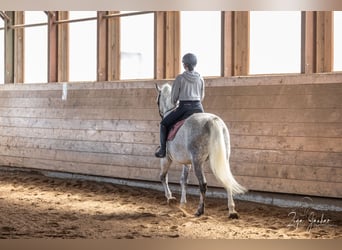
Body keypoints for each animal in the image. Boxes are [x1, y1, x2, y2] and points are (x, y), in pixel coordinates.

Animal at [156, 83, 247, 219]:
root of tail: (212, 120)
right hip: (223, 158)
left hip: (197, 161)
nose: (161, 113)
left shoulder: (166, 158)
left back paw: (199, 210)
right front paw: (182, 204)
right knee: (227, 179)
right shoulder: (187, 163)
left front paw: (170, 198)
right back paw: (232, 211)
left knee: (203, 184)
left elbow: (163, 177)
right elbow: (183, 181)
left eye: (157, 100)